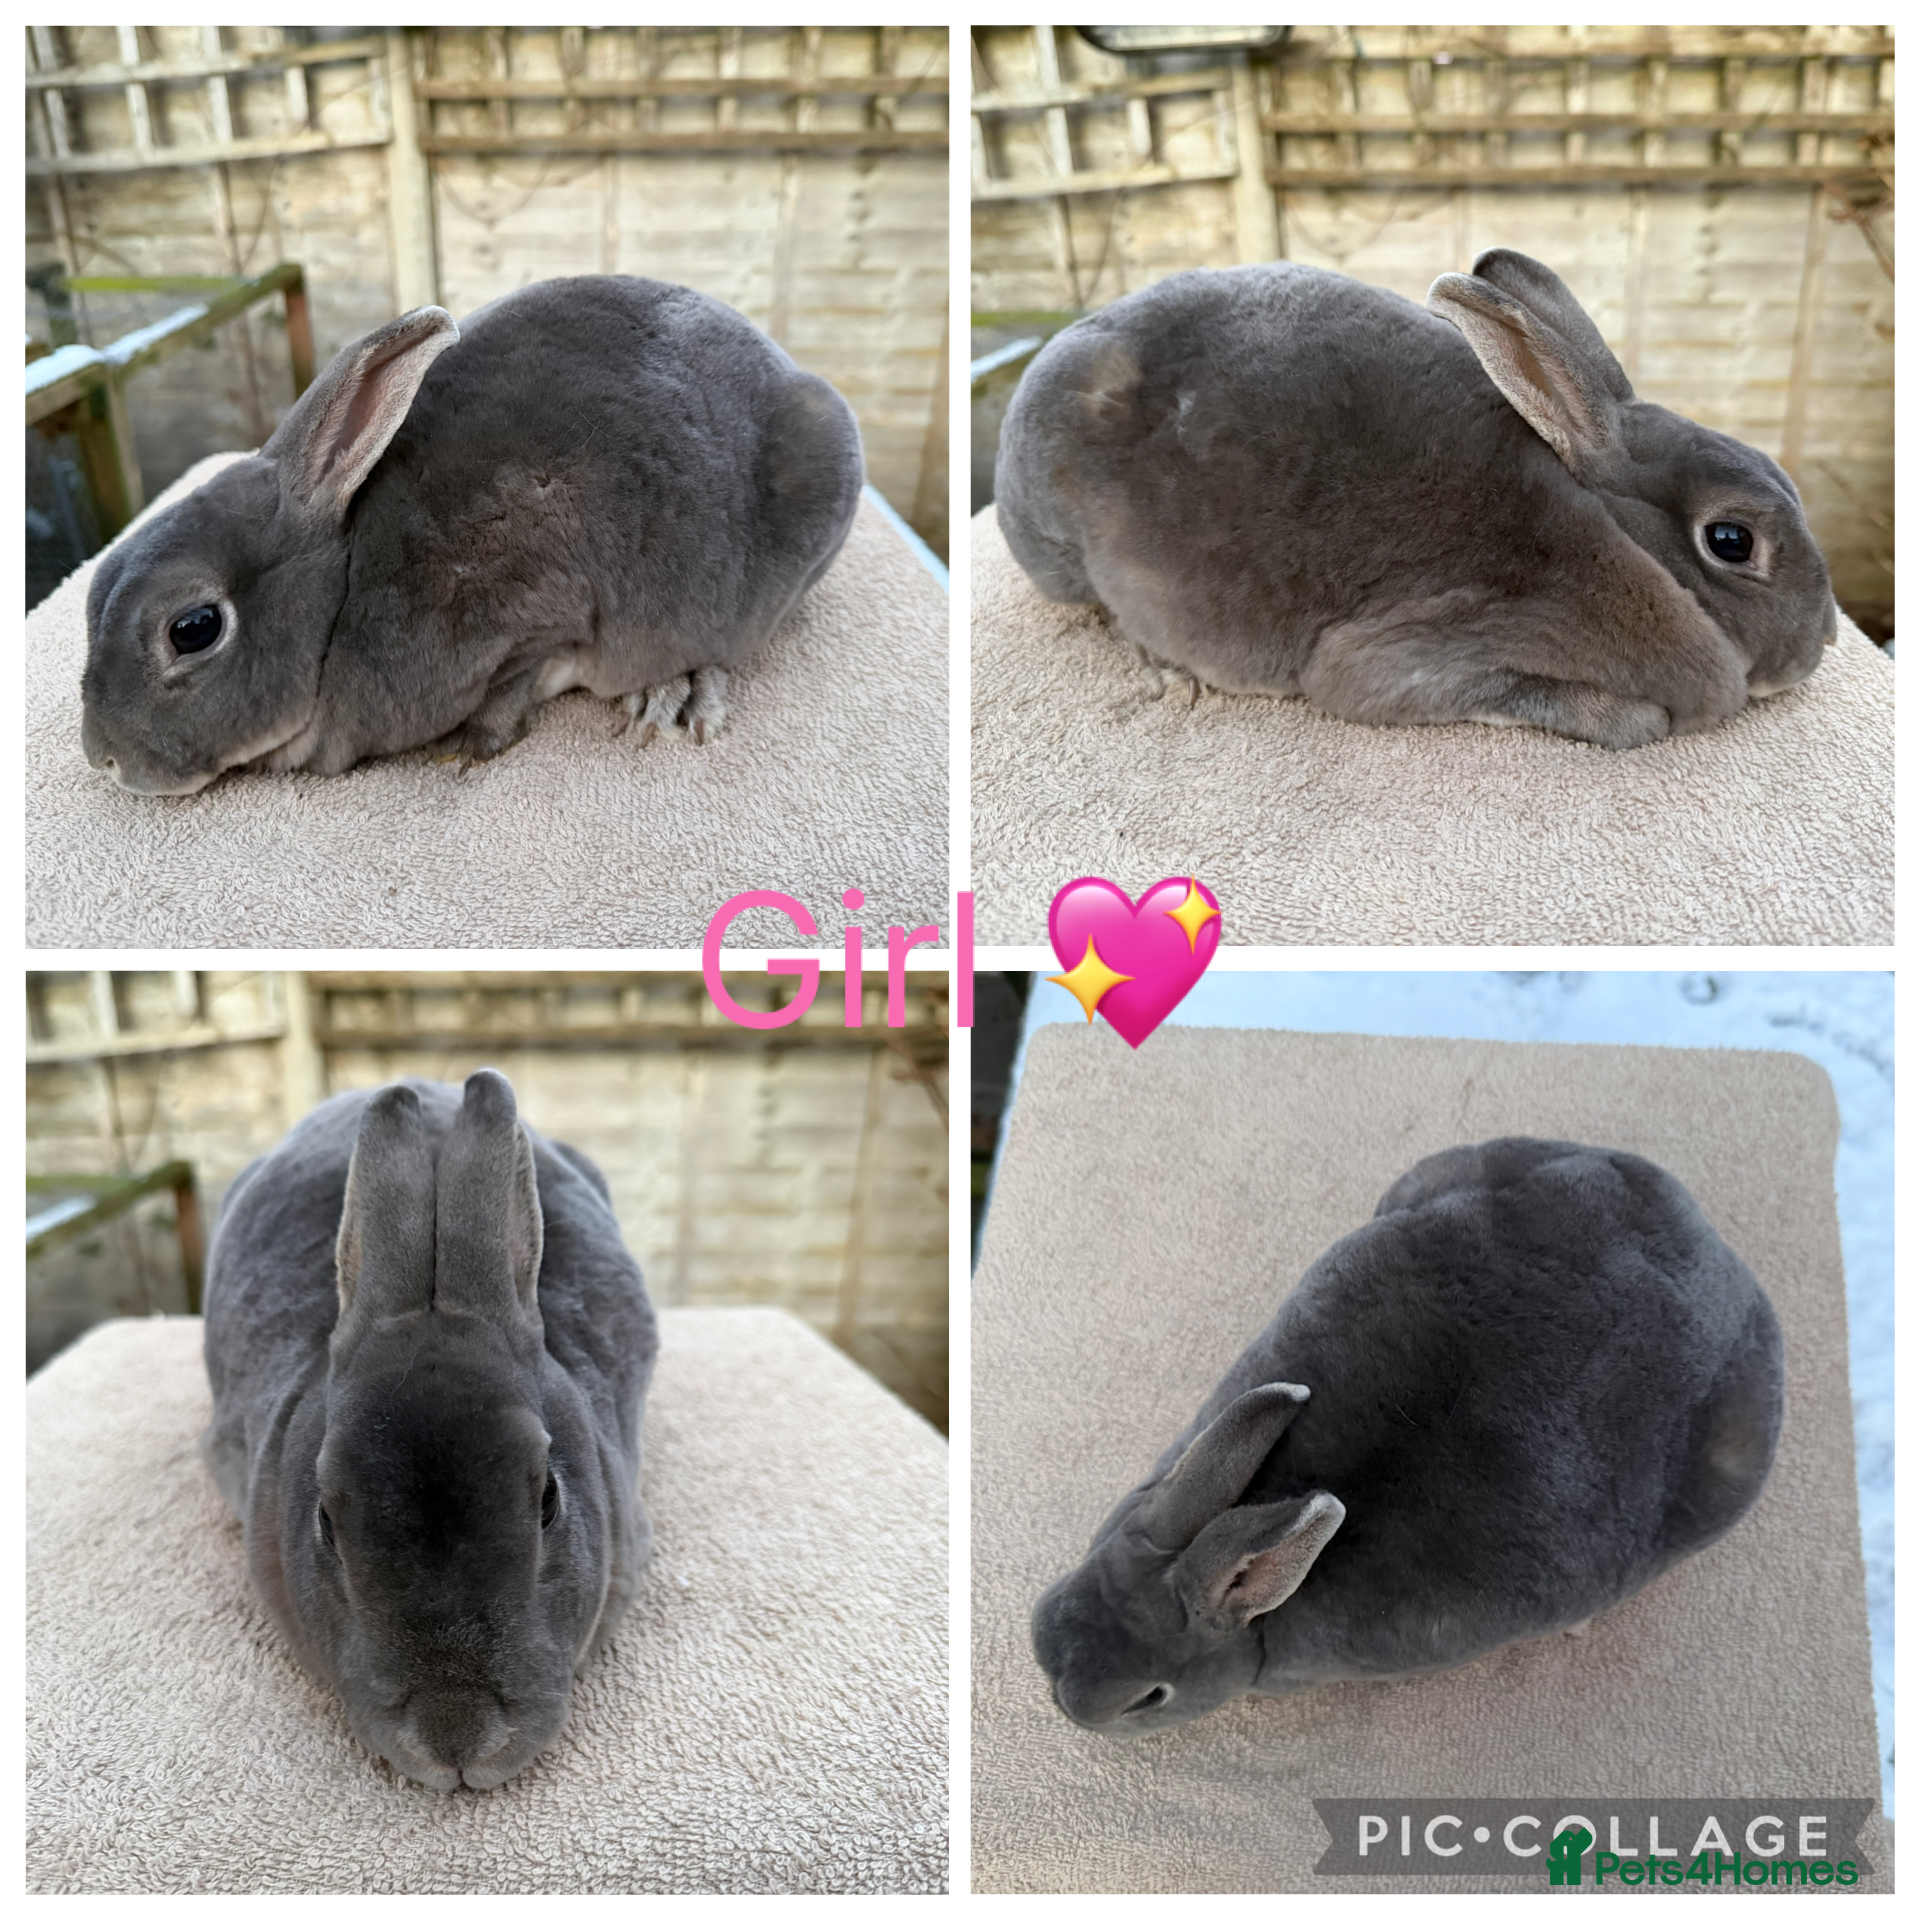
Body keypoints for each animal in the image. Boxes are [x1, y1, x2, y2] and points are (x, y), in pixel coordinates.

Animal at [81, 274, 865, 793]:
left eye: (193, 628)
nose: (103, 758)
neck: (346, 589)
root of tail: (793, 370)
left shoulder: (538, 620)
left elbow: (507, 698)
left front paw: (461, 751)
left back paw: (679, 693)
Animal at [995, 249, 1835, 749]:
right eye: (1731, 541)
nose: (1824, 641)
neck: (1611, 528)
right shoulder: (1424, 652)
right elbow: (1622, 720)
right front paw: (1634, 717)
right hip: (1071, 555)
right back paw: (1175, 675)